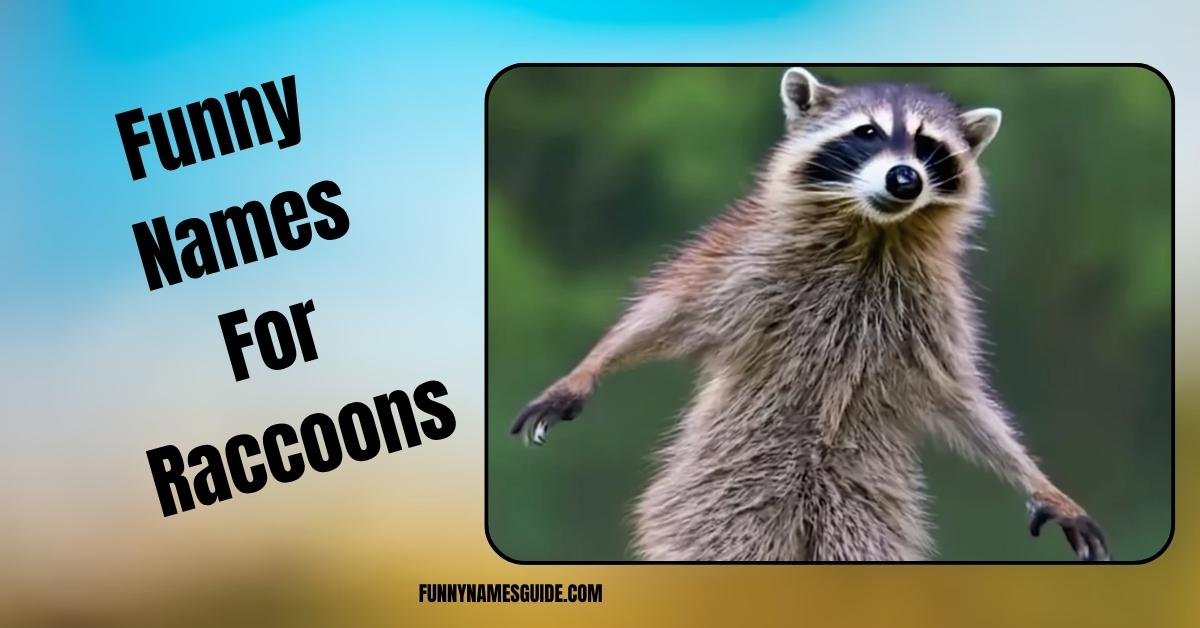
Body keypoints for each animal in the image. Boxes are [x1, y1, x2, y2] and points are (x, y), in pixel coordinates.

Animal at [510, 67, 1108, 562]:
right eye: (867, 133)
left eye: (927, 145)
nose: (905, 179)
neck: (875, 233)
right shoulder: (747, 252)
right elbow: (669, 311)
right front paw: (585, 372)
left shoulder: (938, 304)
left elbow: (961, 396)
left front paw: (1040, 482)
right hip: (721, 494)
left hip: (860, 505)